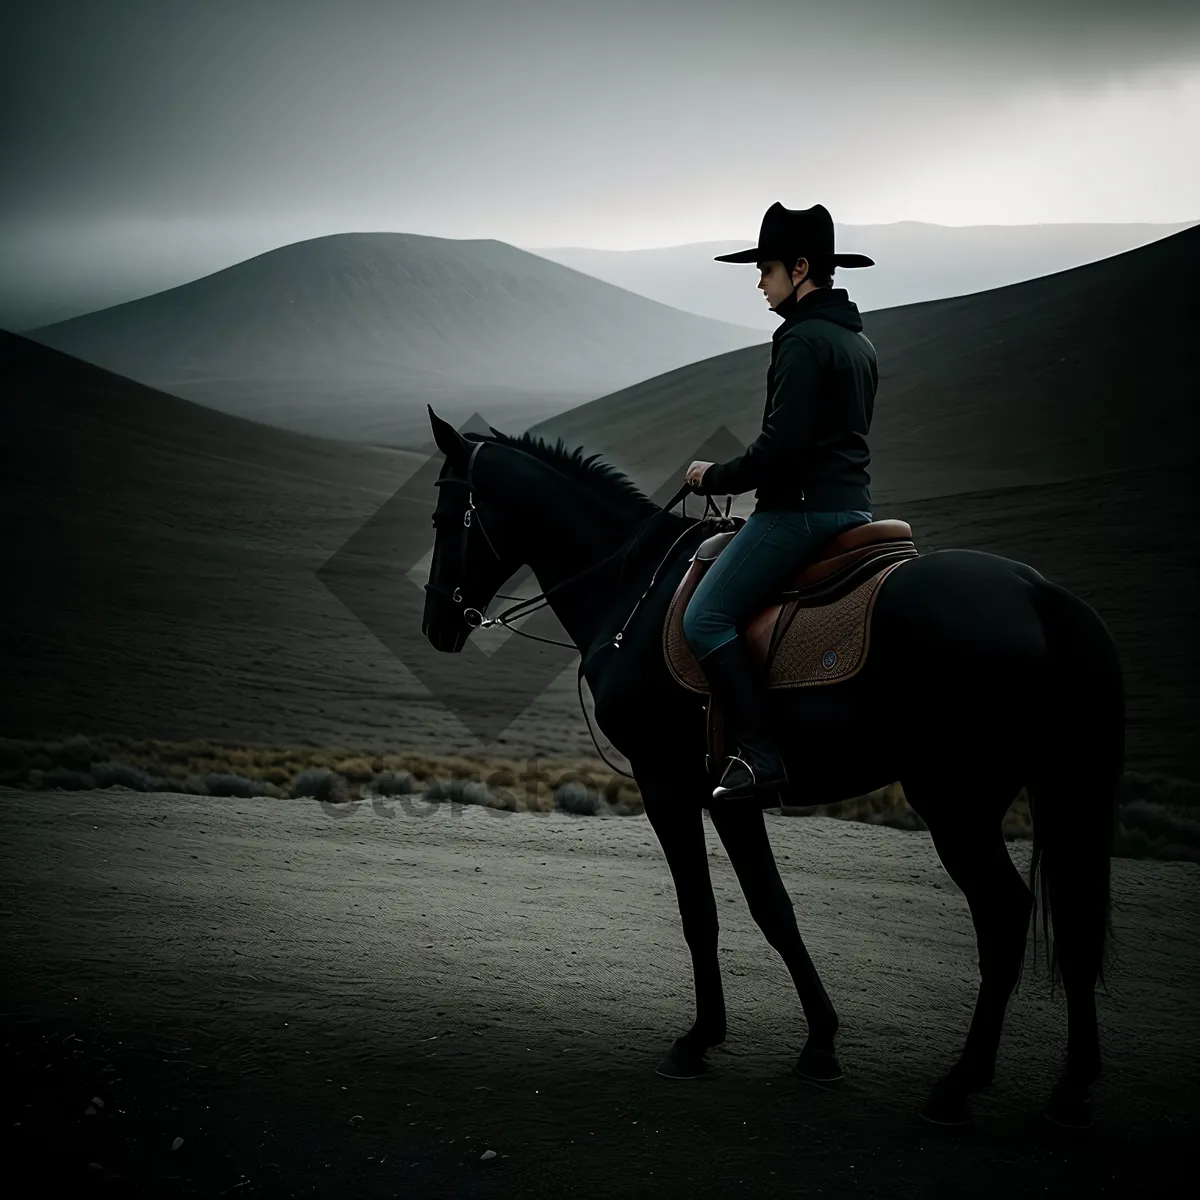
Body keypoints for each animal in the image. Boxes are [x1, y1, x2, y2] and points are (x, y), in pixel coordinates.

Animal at [417, 408, 1118, 1128]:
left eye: (443, 517)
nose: (436, 621)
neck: (633, 590)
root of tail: (1039, 594)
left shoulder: (673, 784)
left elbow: (711, 910)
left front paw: (704, 1041)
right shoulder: (729, 794)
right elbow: (770, 908)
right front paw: (815, 1044)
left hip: (957, 803)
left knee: (1005, 915)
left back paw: (960, 1083)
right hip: (1052, 789)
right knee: (1075, 924)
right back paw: (1071, 1088)